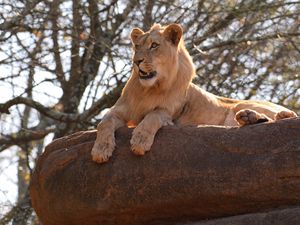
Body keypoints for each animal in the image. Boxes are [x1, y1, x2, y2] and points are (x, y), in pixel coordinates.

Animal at [91, 23, 298, 163]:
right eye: (137, 46)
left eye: (154, 45)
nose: (137, 61)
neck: (149, 88)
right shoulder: (120, 110)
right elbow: (104, 122)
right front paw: (101, 150)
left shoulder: (169, 113)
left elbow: (153, 116)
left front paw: (140, 140)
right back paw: (249, 118)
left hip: (243, 103)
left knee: (290, 115)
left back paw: (269, 115)